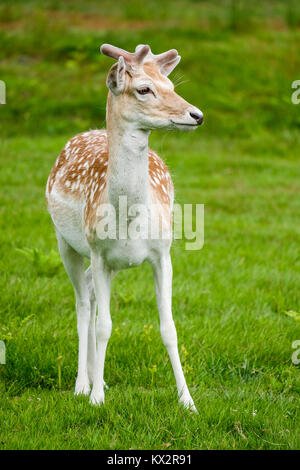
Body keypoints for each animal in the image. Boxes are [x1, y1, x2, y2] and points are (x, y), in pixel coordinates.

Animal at [45, 44, 203, 412]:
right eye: (144, 89)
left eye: (171, 84)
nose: (196, 115)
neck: (129, 220)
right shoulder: (99, 252)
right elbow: (104, 325)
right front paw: (96, 400)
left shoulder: (162, 254)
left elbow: (169, 327)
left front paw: (187, 401)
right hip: (67, 244)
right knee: (83, 304)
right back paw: (83, 385)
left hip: (109, 262)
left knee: (89, 292)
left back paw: (96, 378)